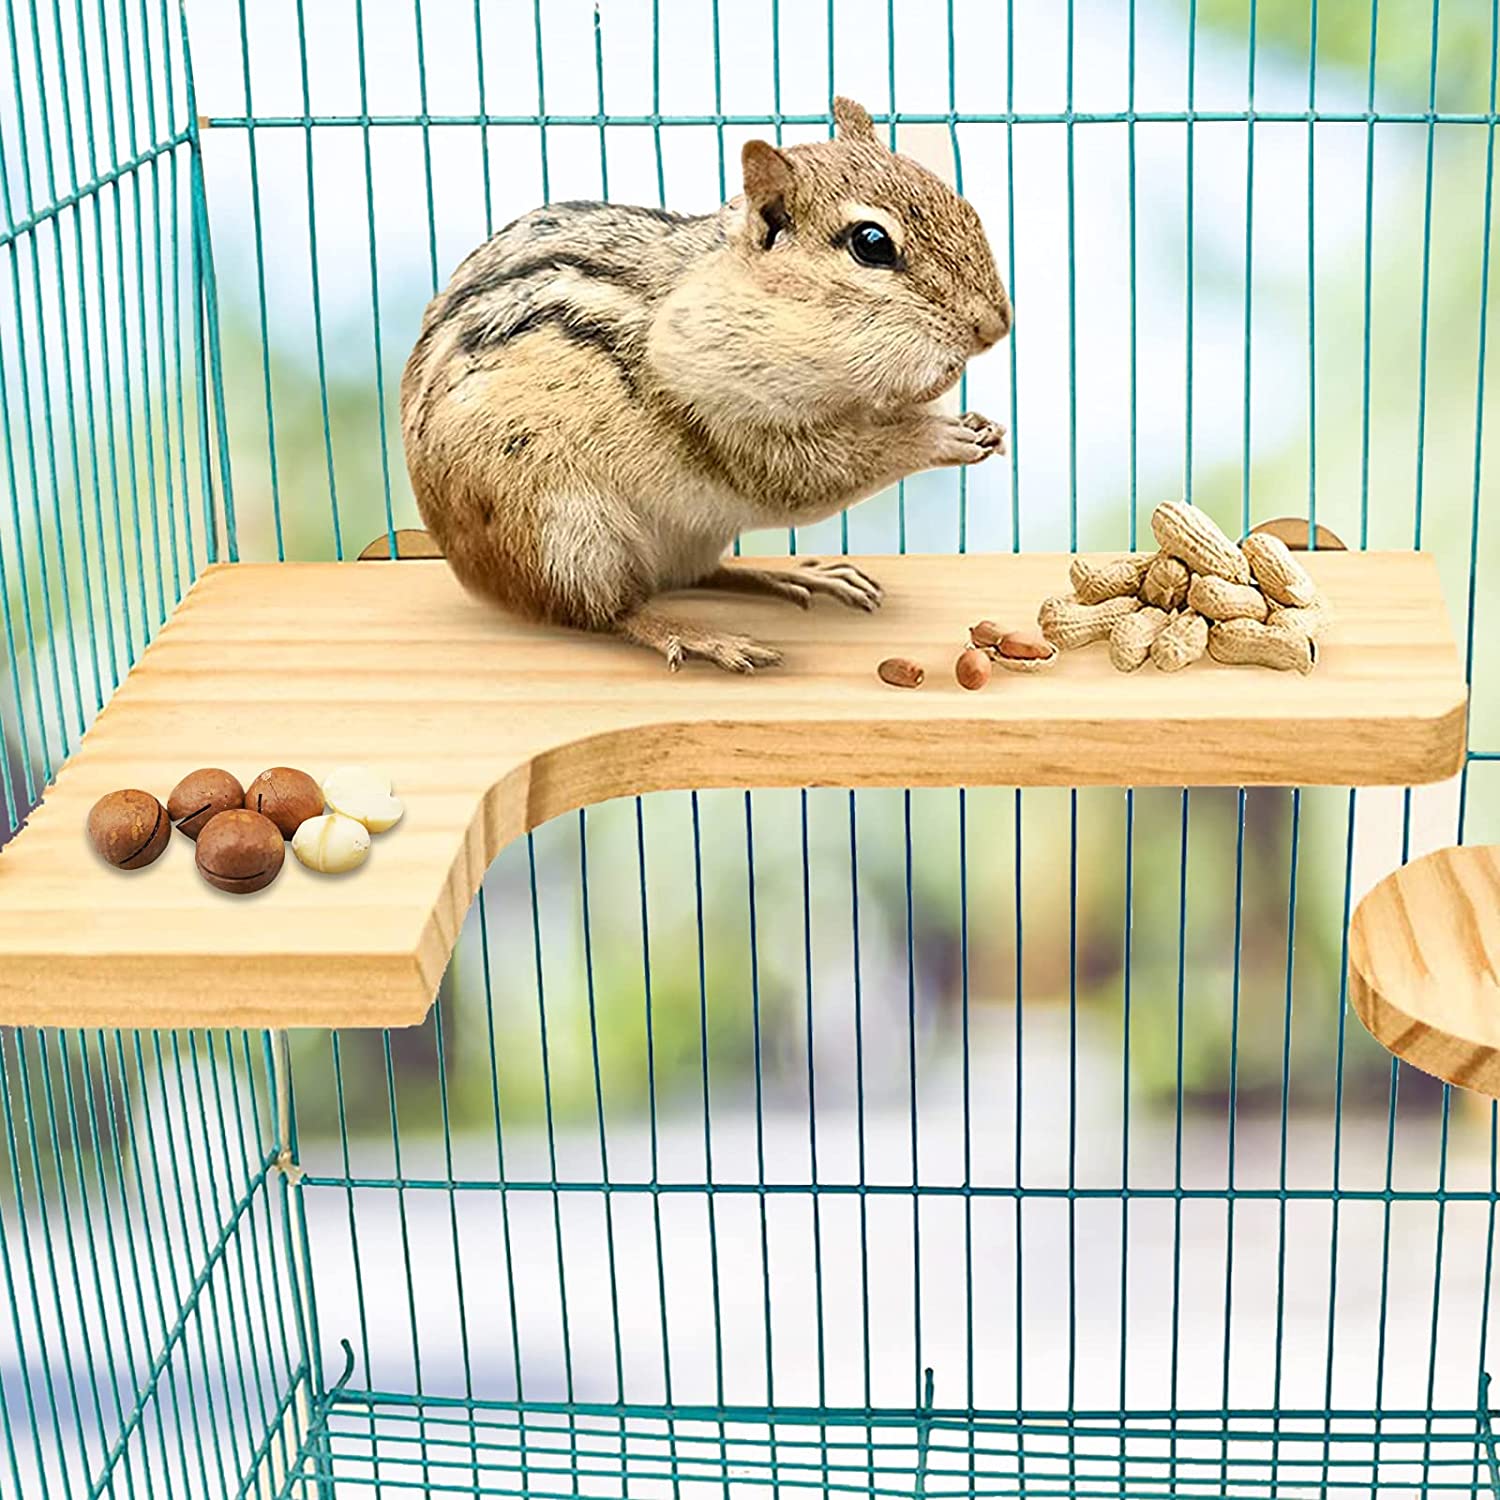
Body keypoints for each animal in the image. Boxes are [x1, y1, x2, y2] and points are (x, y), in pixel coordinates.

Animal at [400, 96, 1011, 672]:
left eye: (964, 206)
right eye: (872, 243)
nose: (995, 327)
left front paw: (979, 422)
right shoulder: (725, 418)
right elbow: (816, 470)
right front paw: (941, 437)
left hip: (681, 536)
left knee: (698, 575)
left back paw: (793, 577)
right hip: (566, 534)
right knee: (606, 610)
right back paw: (700, 636)